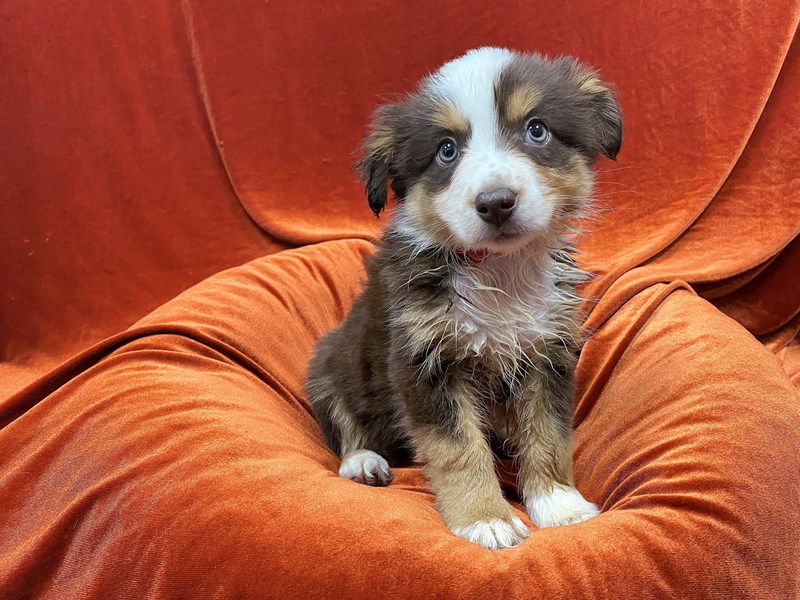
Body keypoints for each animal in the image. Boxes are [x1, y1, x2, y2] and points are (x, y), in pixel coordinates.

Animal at [306, 47, 624, 552]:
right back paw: (363, 461)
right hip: (329, 363)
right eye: (446, 150)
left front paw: (559, 504)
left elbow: (548, 435)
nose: (496, 202)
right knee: (346, 424)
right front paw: (484, 519)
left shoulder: (546, 353)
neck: (499, 271)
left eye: (537, 129)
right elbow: (459, 449)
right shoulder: (424, 362)